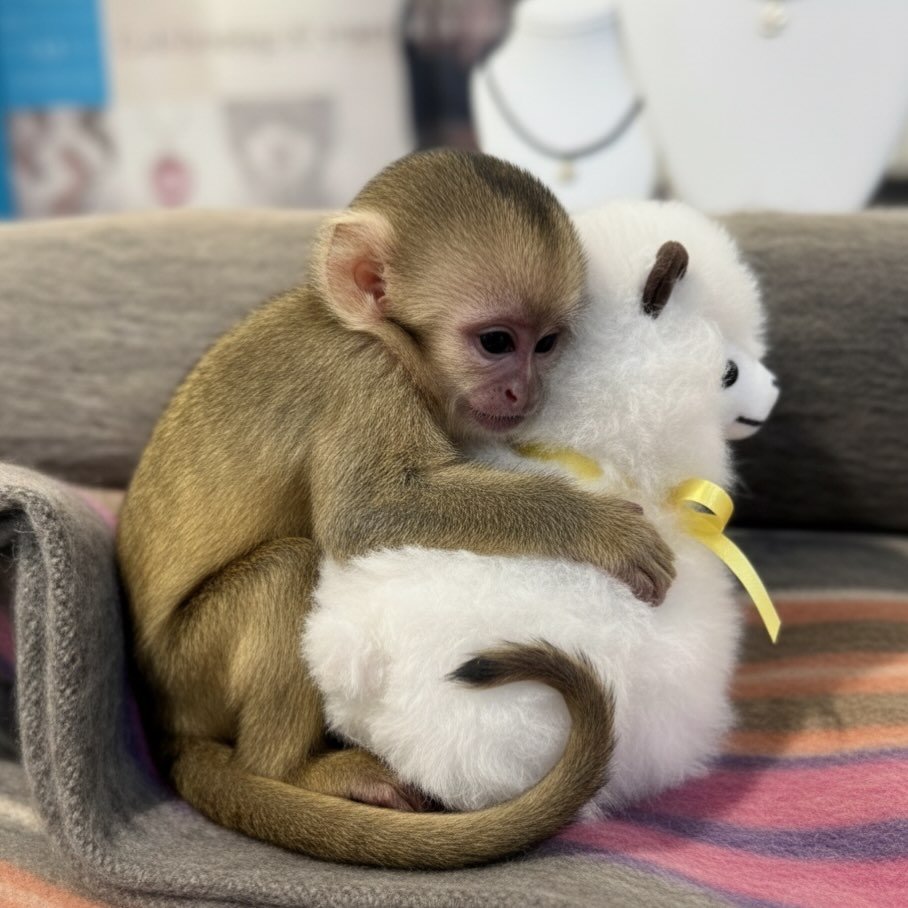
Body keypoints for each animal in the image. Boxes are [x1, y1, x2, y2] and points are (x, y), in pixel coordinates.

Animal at [117, 149, 675, 868]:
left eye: (547, 343)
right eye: (498, 342)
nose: (526, 391)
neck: (379, 340)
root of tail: (162, 715)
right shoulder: (365, 378)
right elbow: (367, 515)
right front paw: (599, 529)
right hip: (191, 669)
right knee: (289, 568)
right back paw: (290, 771)